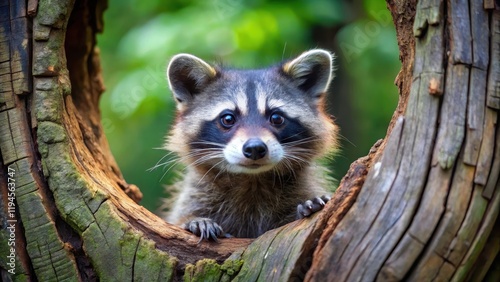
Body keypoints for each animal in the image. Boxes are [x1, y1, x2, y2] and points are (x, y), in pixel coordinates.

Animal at [162, 48, 338, 240]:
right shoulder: (196, 196)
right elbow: (182, 215)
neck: (252, 179)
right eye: (228, 119)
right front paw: (196, 221)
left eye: (276, 118)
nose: (254, 148)